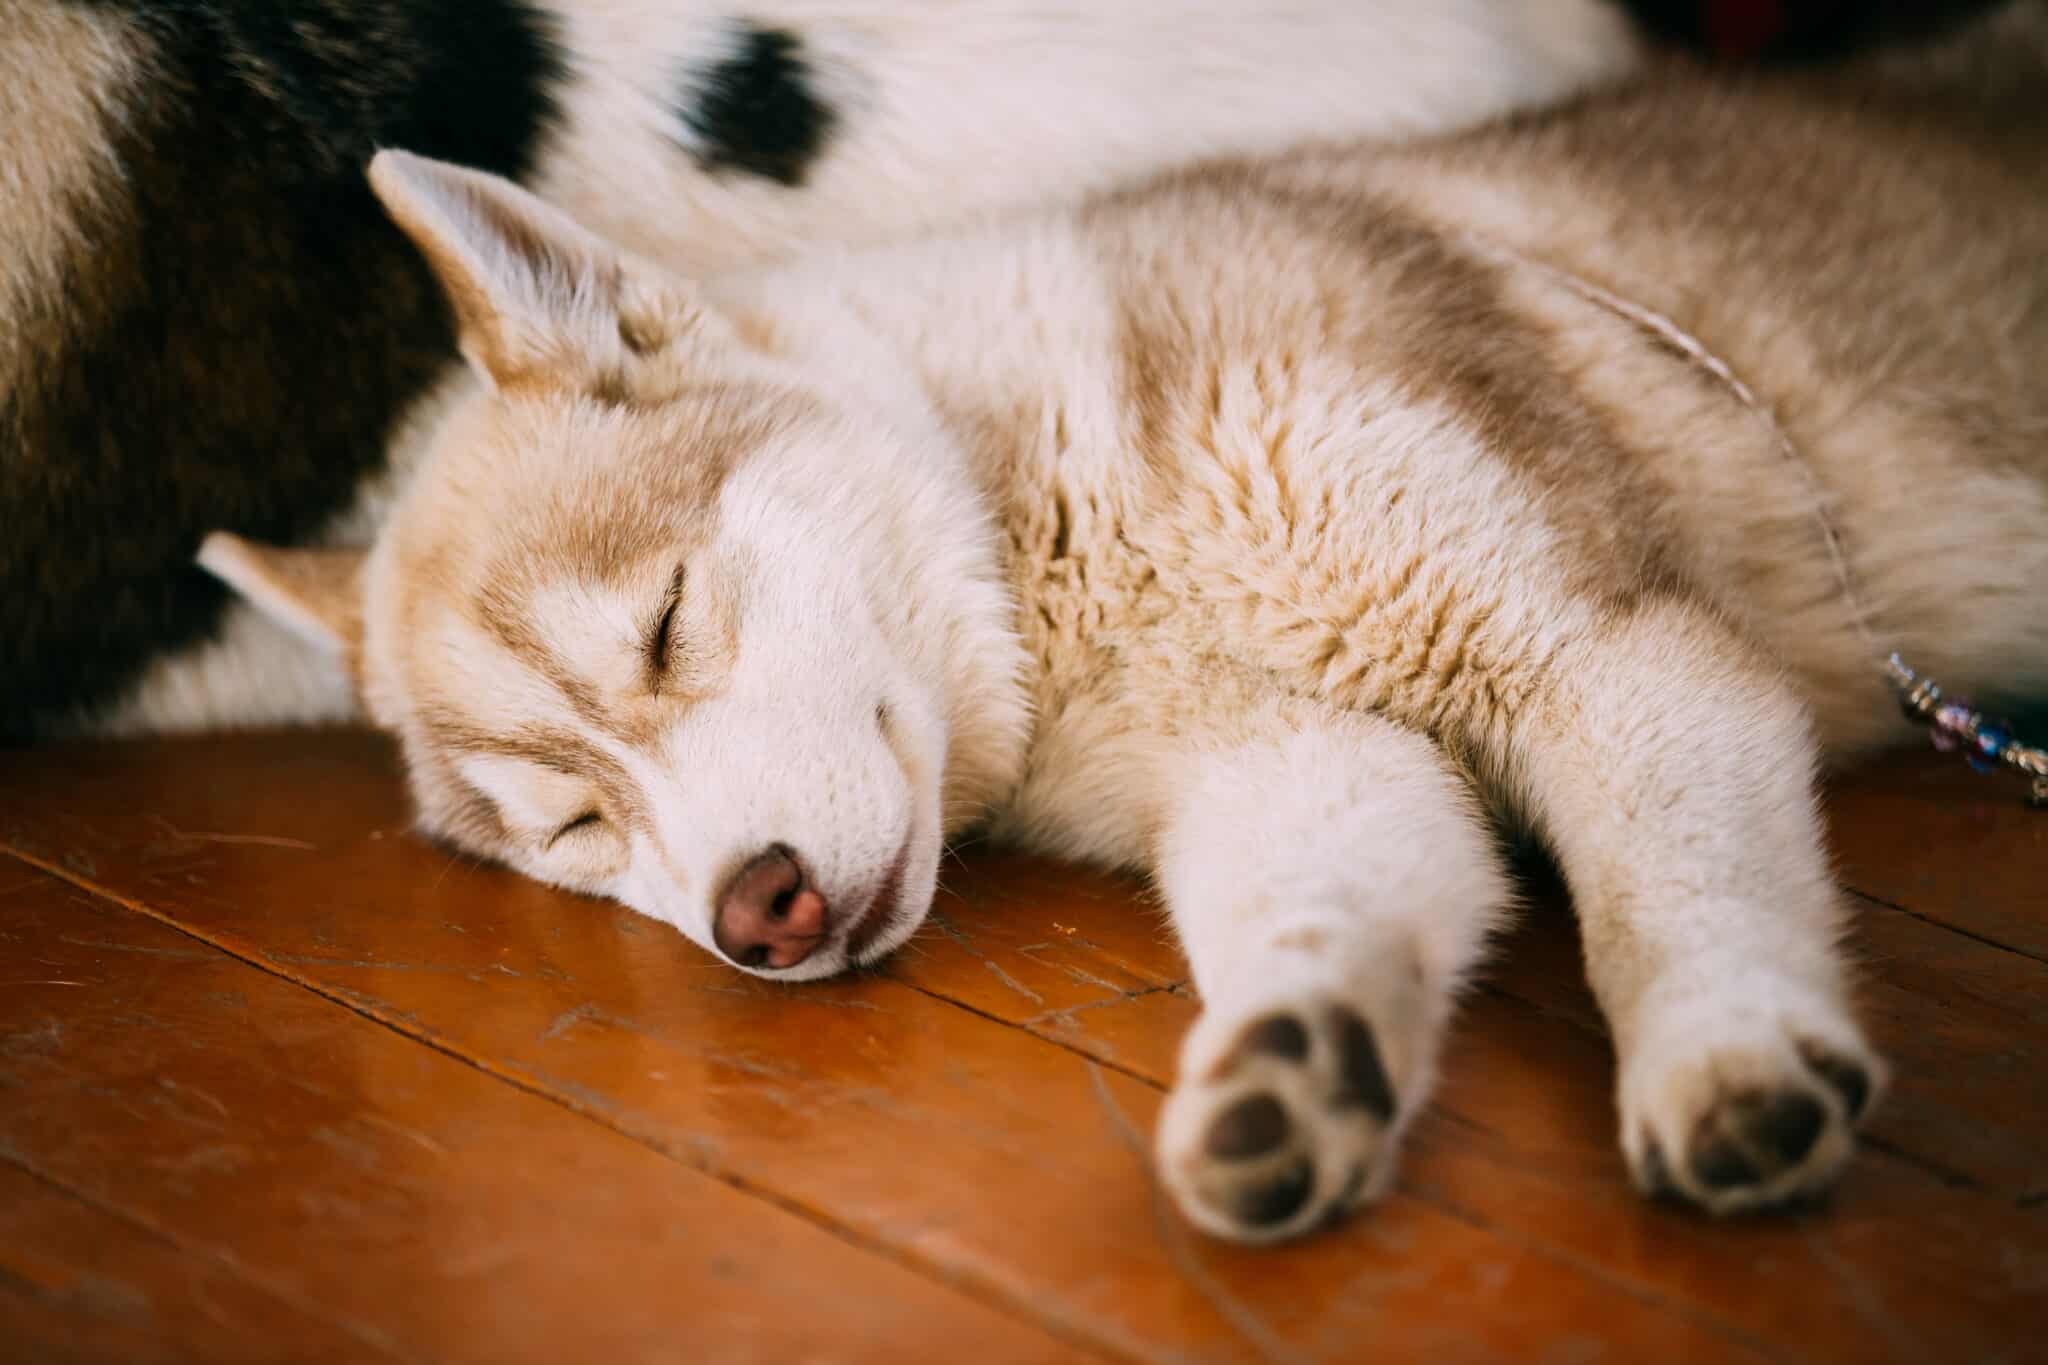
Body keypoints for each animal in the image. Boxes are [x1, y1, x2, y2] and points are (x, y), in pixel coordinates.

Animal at [199, 10, 2039, 1244]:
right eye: (578, 831)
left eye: (666, 625)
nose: (756, 914)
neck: (1066, 525)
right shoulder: (1292, 760)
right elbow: (1326, 907)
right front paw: (1295, 1065)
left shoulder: (1601, 653)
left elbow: (1672, 897)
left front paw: (1726, 1055)